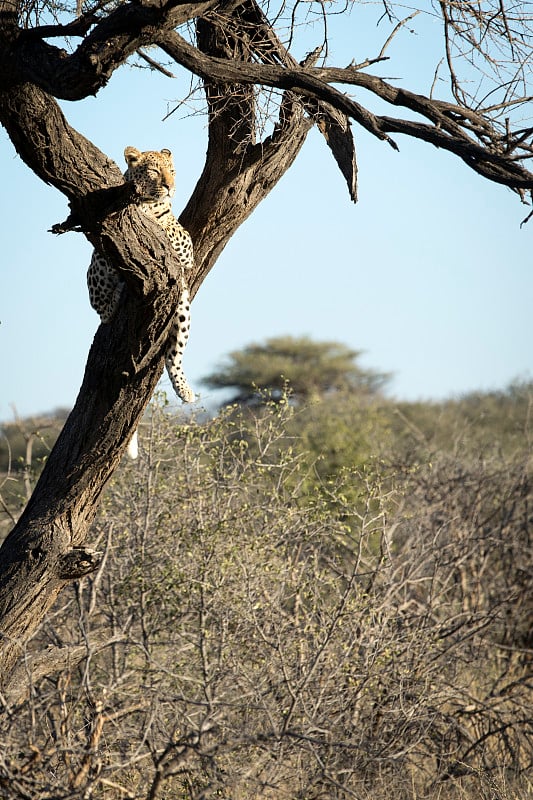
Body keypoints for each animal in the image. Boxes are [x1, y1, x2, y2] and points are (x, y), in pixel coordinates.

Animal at [87, 145, 195, 406]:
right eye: (155, 171)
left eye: (172, 171)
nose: (170, 187)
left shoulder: (186, 247)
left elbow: (168, 228)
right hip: (94, 276)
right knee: (103, 310)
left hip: (182, 304)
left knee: (174, 354)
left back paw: (184, 390)